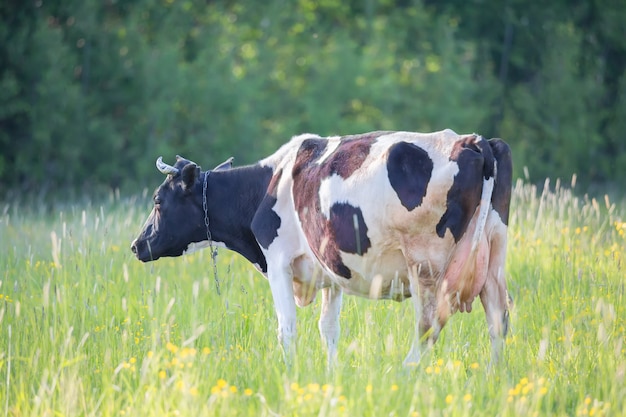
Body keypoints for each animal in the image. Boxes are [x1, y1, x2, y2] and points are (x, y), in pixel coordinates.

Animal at [129, 128, 510, 366]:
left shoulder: (278, 262)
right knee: (498, 321)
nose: (136, 245)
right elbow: (329, 330)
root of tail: (474, 141)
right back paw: (495, 378)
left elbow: (287, 329)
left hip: (425, 264)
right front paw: (332, 373)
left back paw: (405, 372)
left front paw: (289, 374)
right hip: (493, 260)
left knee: (428, 326)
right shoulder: (331, 271)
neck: (267, 186)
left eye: (158, 200)